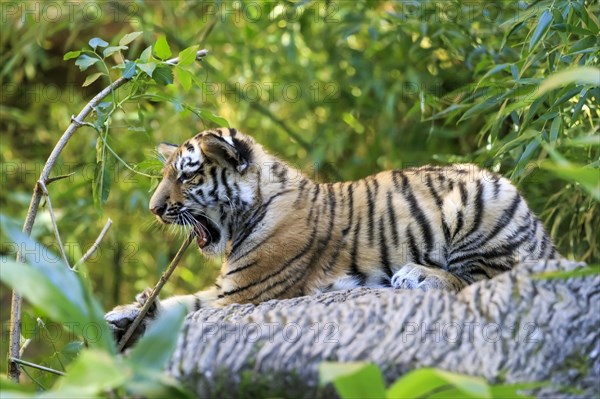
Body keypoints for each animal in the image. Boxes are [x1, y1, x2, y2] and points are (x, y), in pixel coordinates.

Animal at [105, 127, 560, 344]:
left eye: (187, 175)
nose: (153, 209)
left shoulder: (240, 295)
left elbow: (189, 310)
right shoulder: (228, 290)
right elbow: (177, 304)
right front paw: (124, 313)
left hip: (482, 205)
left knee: (481, 279)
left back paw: (416, 274)